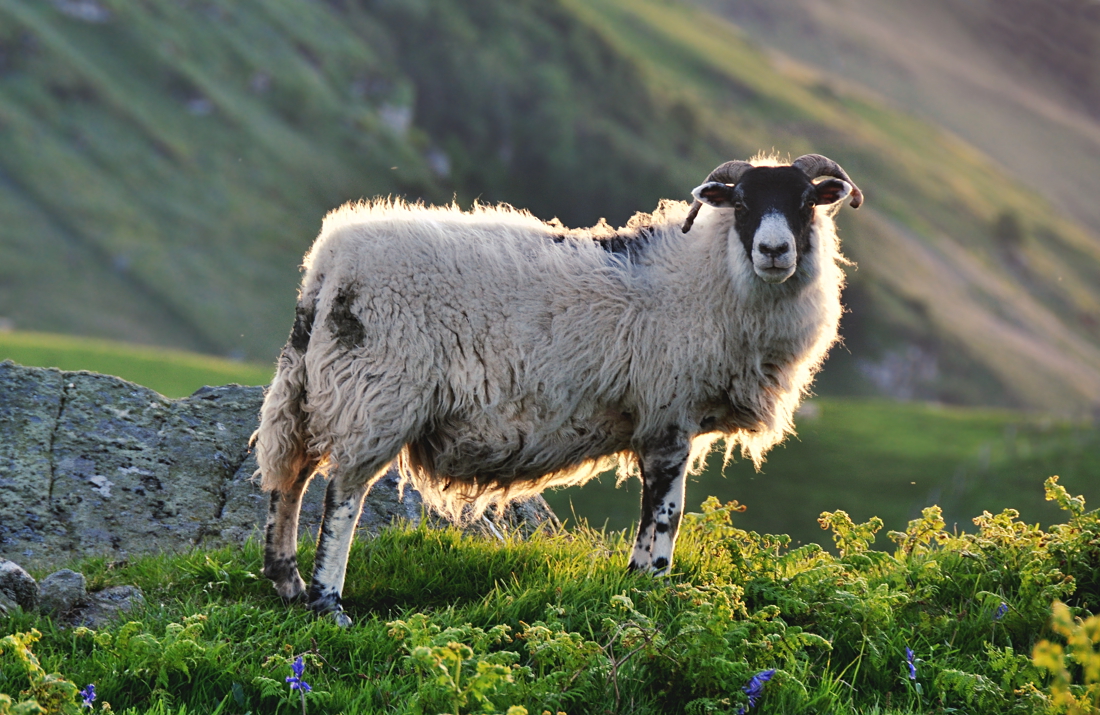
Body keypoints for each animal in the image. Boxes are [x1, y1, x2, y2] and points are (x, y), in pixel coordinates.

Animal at [253, 151, 862, 624]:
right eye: (741, 204)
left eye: (806, 201)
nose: (774, 252)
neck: (709, 278)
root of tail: (329, 261)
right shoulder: (669, 413)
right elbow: (666, 513)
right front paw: (655, 587)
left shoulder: (654, 422)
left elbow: (649, 518)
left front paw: (633, 583)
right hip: (378, 392)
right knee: (342, 495)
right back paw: (327, 601)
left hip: (315, 388)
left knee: (290, 477)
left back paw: (287, 583)